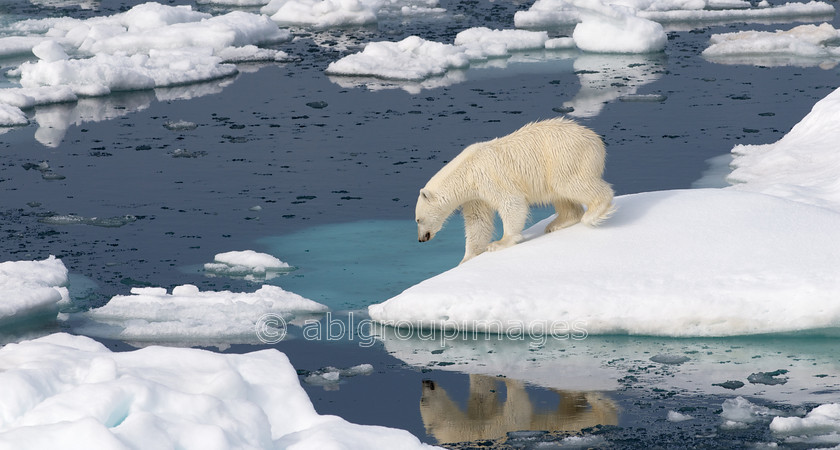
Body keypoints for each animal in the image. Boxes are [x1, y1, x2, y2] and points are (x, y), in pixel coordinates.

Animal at [416, 117, 612, 264]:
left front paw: (499, 243)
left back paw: (594, 213)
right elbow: (477, 221)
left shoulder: (489, 177)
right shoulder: (476, 196)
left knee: (569, 183)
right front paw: (467, 258)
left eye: (418, 219)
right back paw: (558, 223)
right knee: (561, 194)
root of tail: (596, 140)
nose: (421, 239)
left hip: (565, 156)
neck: (467, 170)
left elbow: (511, 202)